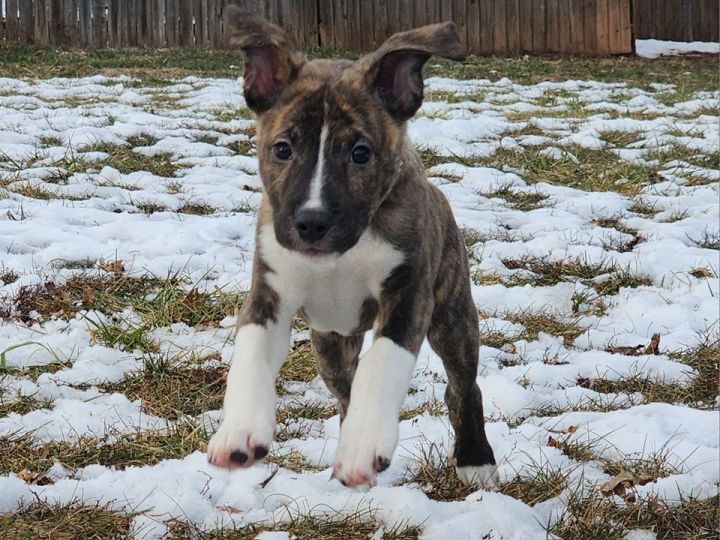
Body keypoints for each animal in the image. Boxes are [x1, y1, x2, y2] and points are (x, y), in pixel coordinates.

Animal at [208, 8, 498, 490]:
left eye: (360, 153)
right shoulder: (269, 293)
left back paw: (475, 459)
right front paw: (240, 431)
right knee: (345, 391)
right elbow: (249, 356)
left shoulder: (408, 295)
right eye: (282, 149)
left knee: (462, 386)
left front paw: (365, 443)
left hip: (453, 318)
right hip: (329, 344)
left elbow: (382, 366)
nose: (311, 223)